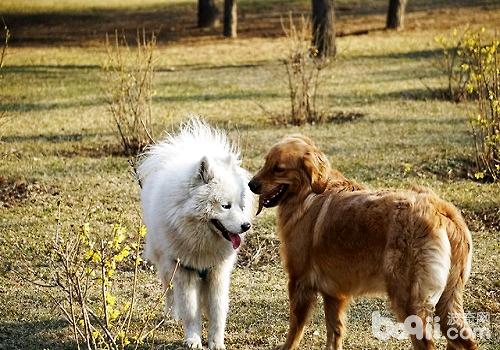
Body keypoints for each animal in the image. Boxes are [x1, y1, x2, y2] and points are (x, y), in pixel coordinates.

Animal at [138, 119, 252, 348]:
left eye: (239, 205)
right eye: (225, 206)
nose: (246, 226)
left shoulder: (217, 272)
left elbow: (217, 311)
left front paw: (216, 342)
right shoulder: (184, 269)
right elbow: (190, 311)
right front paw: (193, 339)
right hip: (165, 264)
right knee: (169, 292)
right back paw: (171, 315)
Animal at [249, 135, 476, 350]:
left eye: (278, 169)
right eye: (265, 162)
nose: (251, 185)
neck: (308, 194)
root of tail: (441, 210)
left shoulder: (299, 281)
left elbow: (295, 329)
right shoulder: (333, 292)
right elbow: (334, 332)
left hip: (409, 300)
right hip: (448, 301)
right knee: (465, 340)